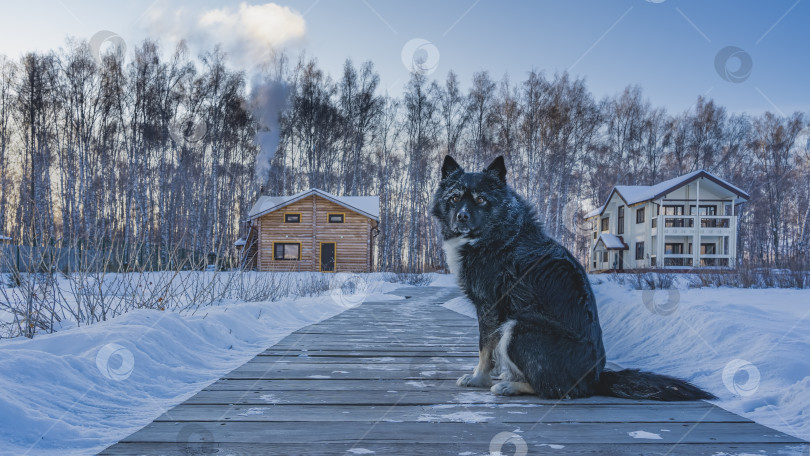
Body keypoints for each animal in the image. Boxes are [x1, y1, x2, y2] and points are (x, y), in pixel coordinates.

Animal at [430, 156, 712, 400]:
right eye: (454, 198)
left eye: (481, 199)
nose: (462, 216)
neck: (495, 233)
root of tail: (596, 379)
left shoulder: (490, 307)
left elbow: (485, 348)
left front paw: (478, 378)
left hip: (519, 326)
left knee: (554, 389)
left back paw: (510, 386)